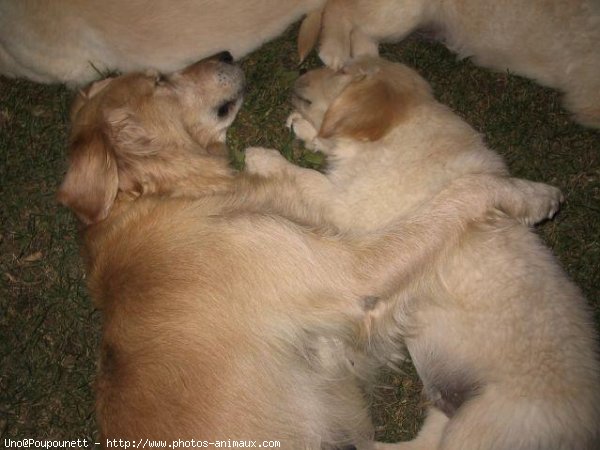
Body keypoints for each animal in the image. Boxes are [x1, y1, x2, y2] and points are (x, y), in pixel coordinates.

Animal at [58, 52, 560, 446]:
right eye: (159, 82)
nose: (225, 53)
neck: (167, 195)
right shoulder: (351, 274)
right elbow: (461, 192)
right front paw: (526, 193)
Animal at [244, 58, 600, 448]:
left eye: (342, 71)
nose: (299, 72)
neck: (398, 134)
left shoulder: (349, 207)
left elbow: (310, 180)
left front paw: (264, 158)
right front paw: (305, 128)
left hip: (480, 425)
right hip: (446, 415)